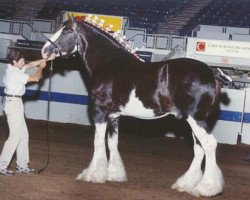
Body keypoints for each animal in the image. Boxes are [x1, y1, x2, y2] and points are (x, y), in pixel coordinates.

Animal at [41, 15, 225, 197]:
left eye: (66, 31)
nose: (44, 51)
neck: (108, 64)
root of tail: (212, 73)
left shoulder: (99, 112)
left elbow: (98, 142)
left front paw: (92, 175)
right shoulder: (114, 116)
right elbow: (112, 142)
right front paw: (114, 174)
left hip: (195, 119)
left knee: (209, 145)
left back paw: (206, 188)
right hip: (194, 121)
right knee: (199, 148)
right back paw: (186, 184)